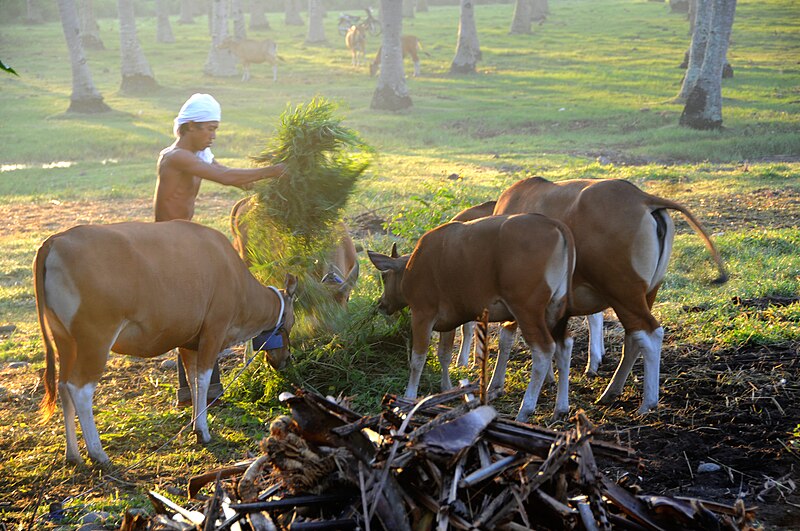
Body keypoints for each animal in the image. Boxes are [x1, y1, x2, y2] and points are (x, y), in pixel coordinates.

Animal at [34, 220, 296, 466]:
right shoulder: (214, 330)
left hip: (66, 341)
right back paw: (98, 453)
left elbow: (193, 380)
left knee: (63, 386)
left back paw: (73, 454)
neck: (234, 275)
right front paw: (203, 431)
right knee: (80, 390)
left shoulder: (188, 342)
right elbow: (203, 379)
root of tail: (56, 240)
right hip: (95, 339)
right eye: (291, 322)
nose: (284, 359)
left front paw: (195, 426)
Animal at [368, 214, 576, 422]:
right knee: (564, 345)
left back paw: (525, 409)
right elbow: (444, 355)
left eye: (384, 277)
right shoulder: (447, 322)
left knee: (544, 350)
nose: (381, 303)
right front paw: (447, 389)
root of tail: (553, 223)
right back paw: (561, 407)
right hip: (554, 309)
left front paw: (409, 396)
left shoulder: (422, 314)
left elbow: (417, 360)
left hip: (527, 310)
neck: (413, 265)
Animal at [490, 179, 728, 416]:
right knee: (634, 337)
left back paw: (647, 402)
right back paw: (611, 391)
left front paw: (495, 385)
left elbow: (507, 337)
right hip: (645, 294)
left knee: (650, 334)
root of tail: (642, 198)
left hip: (623, 294)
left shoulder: (520, 302)